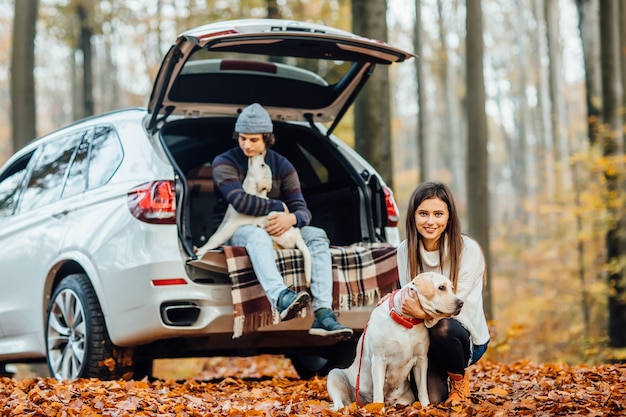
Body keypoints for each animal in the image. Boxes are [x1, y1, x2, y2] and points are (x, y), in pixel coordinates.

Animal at [195, 153, 312, 286]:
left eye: (262, 165)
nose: (260, 153)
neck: (251, 190)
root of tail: (298, 235)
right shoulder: (226, 221)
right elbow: (216, 234)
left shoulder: (231, 225)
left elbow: (215, 238)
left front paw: (201, 250)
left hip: (272, 216)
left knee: (285, 245)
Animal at [324, 270, 460, 410]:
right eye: (441, 287)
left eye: (452, 288)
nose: (461, 302)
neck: (407, 321)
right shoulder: (379, 360)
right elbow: (378, 391)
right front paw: (378, 410)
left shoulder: (421, 360)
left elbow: (423, 389)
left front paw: (426, 407)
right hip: (335, 375)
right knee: (340, 402)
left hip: (407, 397)